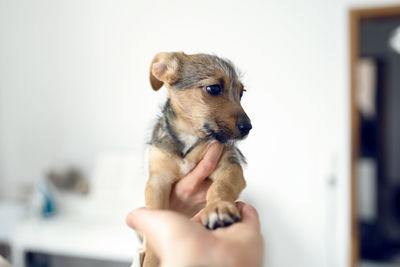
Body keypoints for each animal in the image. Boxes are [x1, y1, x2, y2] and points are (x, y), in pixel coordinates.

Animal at [143, 51, 250, 266]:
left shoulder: (229, 164)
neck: (189, 136)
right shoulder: (158, 180)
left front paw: (217, 207)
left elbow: (220, 187)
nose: (248, 127)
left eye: (241, 93)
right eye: (213, 88)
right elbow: (154, 221)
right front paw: (150, 260)